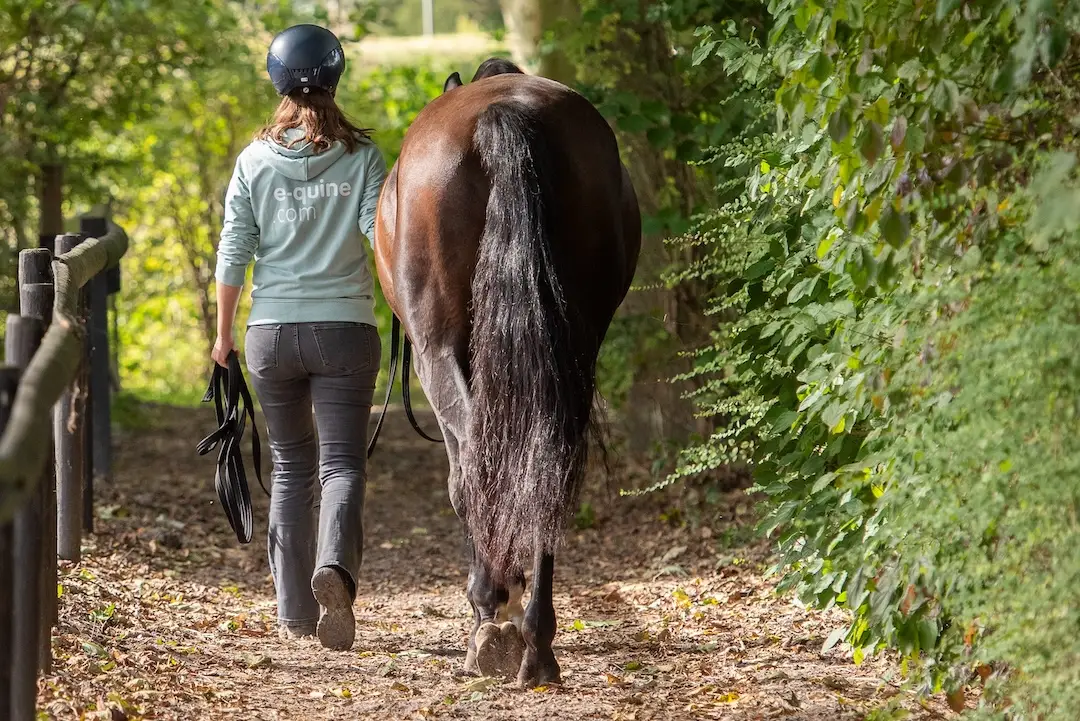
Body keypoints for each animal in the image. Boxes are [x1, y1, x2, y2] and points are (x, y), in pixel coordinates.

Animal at [372, 57, 641, 688]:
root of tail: (505, 113)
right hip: (575, 353)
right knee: (547, 468)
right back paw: (537, 645)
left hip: (438, 352)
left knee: (477, 468)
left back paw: (490, 619)